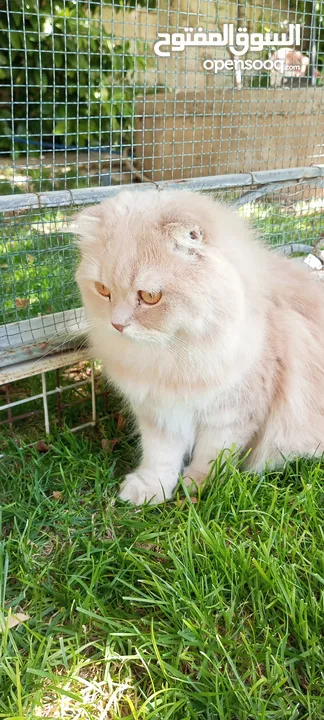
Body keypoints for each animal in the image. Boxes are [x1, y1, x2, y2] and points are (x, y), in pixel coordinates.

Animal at [74, 188, 324, 504]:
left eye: (150, 296)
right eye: (103, 290)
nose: (116, 324)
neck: (171, 359)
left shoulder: (232, 414)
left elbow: (212, 456)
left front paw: (196, 488)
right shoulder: (159, 413)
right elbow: (160, 456)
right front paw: (151, 489)